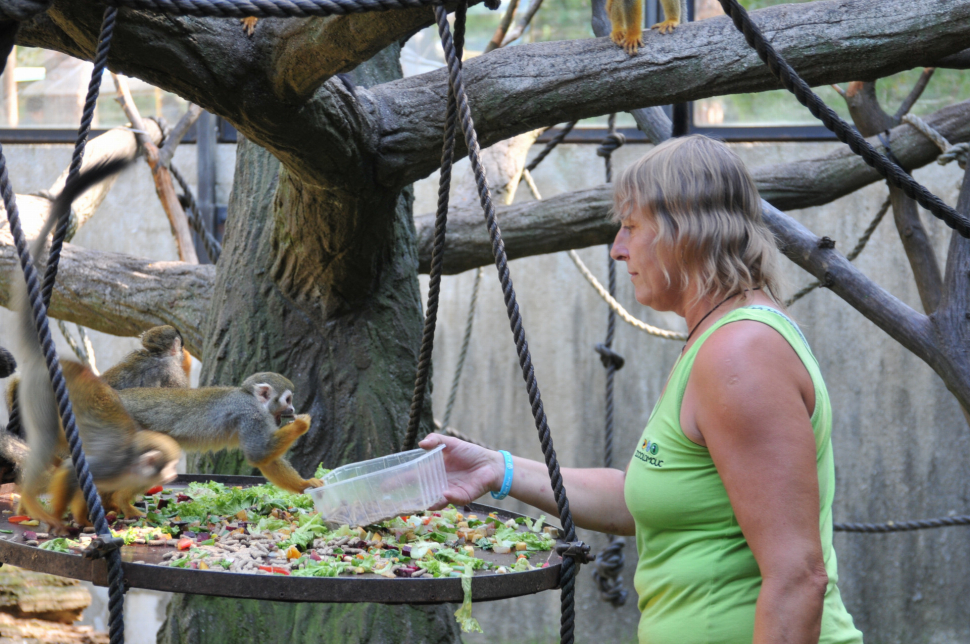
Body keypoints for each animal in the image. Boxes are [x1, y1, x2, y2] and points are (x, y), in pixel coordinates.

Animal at [13, 160, 182, 528]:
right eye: (171, 465)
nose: (175, 474)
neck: (131, 462)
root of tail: (54, 361)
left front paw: (99, 516)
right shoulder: (110, 465)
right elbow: (72, 473)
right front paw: (68, 521)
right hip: (39, 392)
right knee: (46, 441)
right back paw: (32, 502)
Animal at [116, 372, 322, 494]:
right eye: (287, 400)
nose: (293, 409)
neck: (252, 399)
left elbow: (266, 459)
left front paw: (305, 485)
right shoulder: (251, 414)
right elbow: (259, 454)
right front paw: (301, 425)